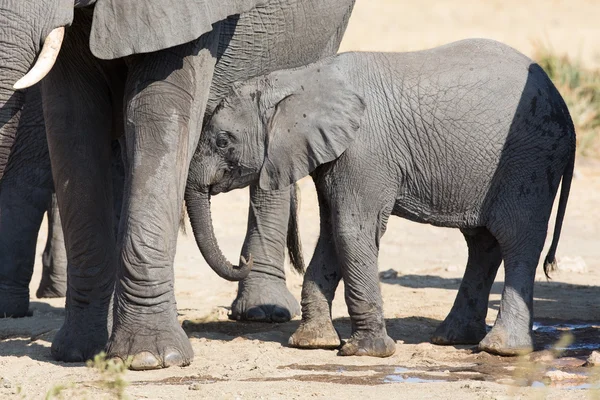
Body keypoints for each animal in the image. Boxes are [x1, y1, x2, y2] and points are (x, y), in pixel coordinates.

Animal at [0, 0, 356, 368]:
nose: (240, 264)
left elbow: (158, 115)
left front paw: (149, 358)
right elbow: (72, 121)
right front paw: (79, 352)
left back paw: (263, 311)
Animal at [188, 39, 576, 358]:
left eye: (223, 141)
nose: (245, 260)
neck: (300, 79)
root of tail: (564, 108)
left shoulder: (364, 152)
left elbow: (351, 231)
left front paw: (365, 352)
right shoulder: (334, 155)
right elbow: (331, 233)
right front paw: (311, 343)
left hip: (529, 158)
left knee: (515, 239)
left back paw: (500, 349)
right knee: (483, 242)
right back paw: (451, 339)